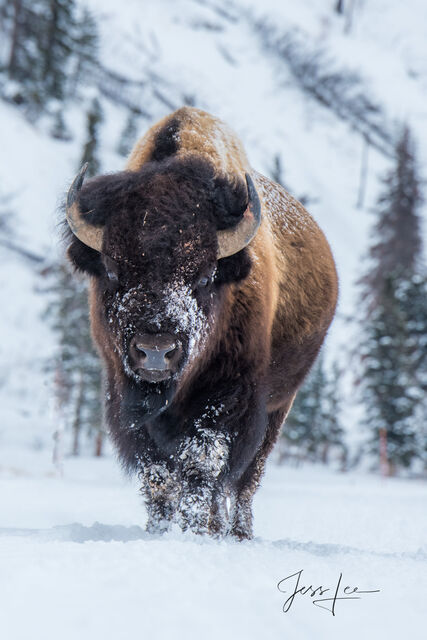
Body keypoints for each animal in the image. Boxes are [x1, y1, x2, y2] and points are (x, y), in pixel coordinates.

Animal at [64, 107, 338, 536]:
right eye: (111, 269)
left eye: (206, 276)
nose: (155, 351)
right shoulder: (125, 395)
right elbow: (159, 473)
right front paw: (160, 530)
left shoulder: (229, 396)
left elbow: (202, 464)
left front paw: (195, 531)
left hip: (280, 406)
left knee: (246, 480)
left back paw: (237, 532)